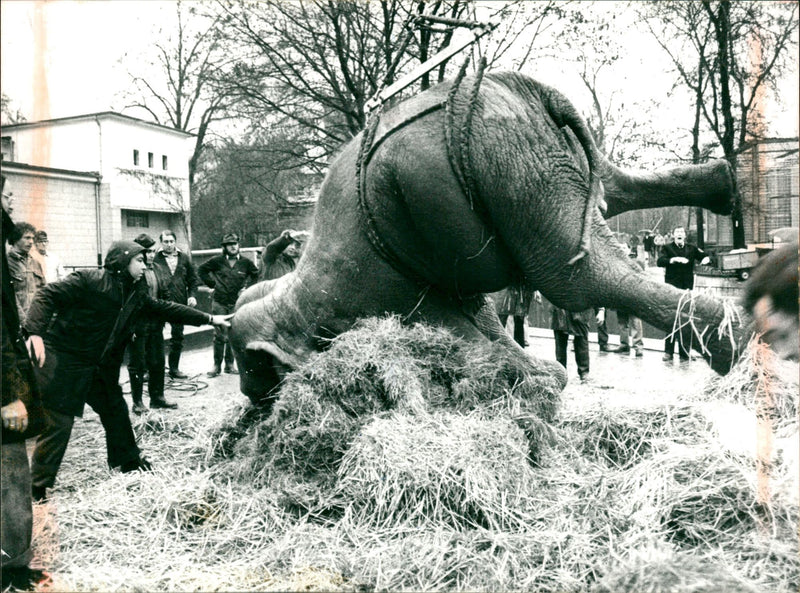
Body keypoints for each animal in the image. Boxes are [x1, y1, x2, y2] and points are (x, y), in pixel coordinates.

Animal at [230, 70, 752, 408]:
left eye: (257, 372)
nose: (253, 404)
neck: (290, 295)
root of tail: (532, 88)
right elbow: (483, 321)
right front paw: (544, 378)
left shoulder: (375, 296)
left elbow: (455, 330)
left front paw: (541, 381)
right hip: (536, 156)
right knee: (607, 185)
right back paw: (726, 184)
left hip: (511, 161)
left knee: (574, 276)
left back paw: (738, 348)